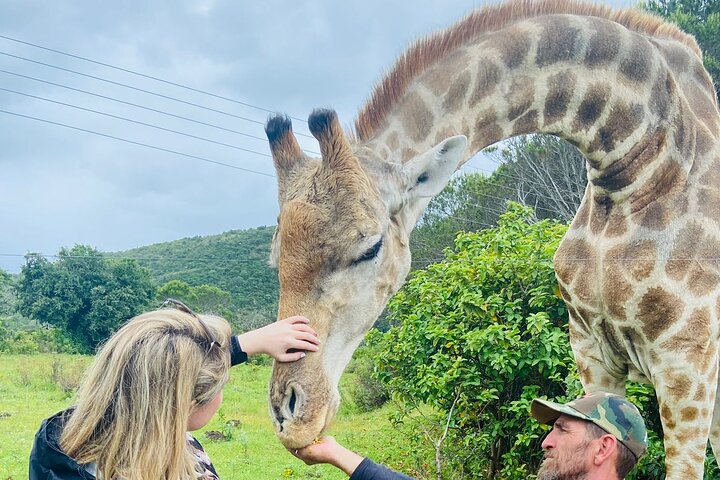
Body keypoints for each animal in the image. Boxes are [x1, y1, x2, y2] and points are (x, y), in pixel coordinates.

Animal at [264, 0, 720, 477]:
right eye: (276, 261)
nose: (291, 417)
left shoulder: (687, 365)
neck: (640, 160)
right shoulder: (591, 351)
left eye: (370, 248)